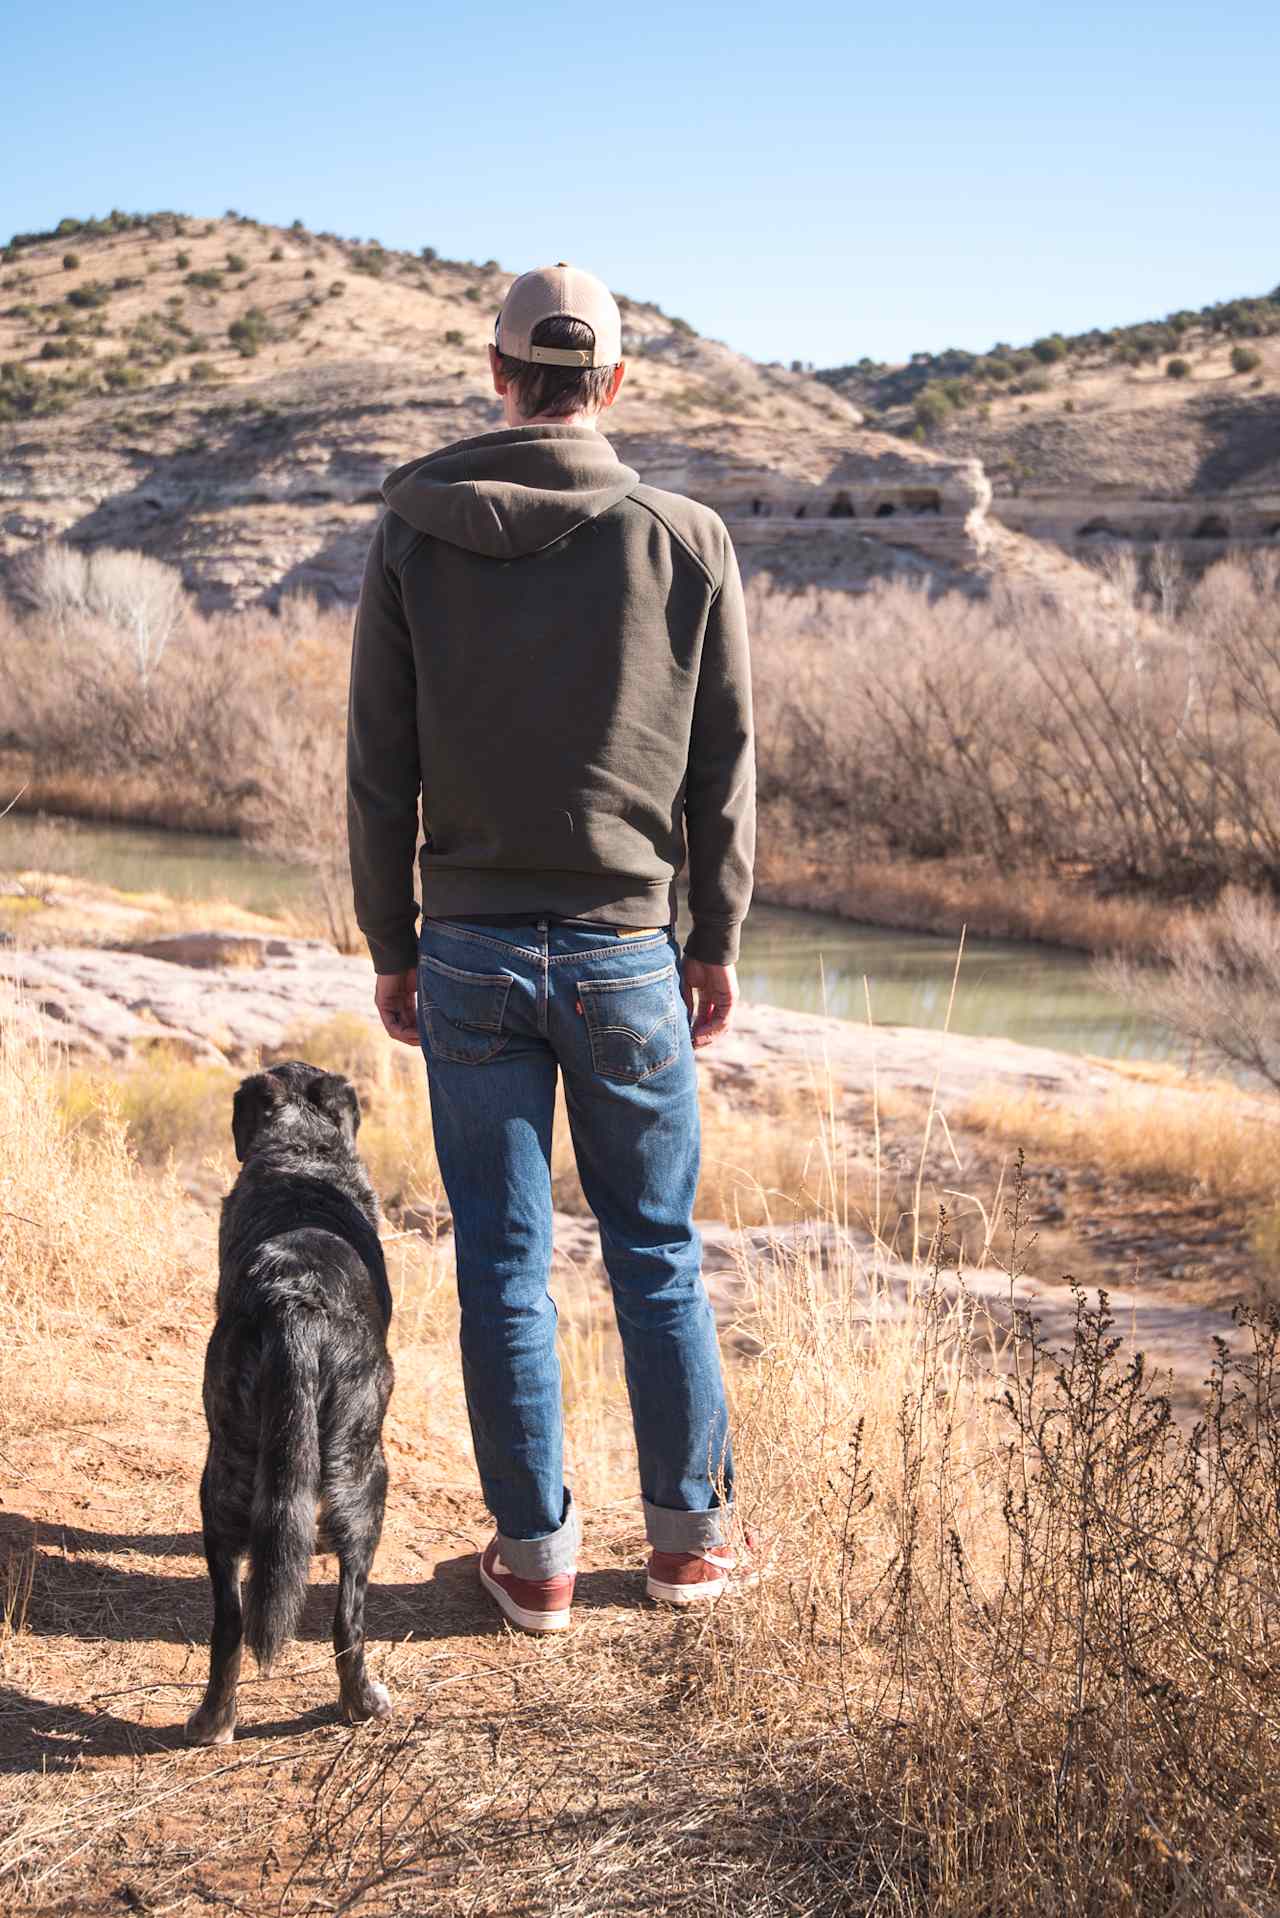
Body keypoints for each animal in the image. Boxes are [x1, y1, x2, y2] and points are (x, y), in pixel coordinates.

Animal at [186, 1058, 395, 1749]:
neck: (303, 1151)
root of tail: (293, 1301)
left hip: (222, 1476)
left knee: (229, 1620)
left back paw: (213, 1721)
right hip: (366, 1474)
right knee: (347, 1619)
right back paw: (363, 1705)